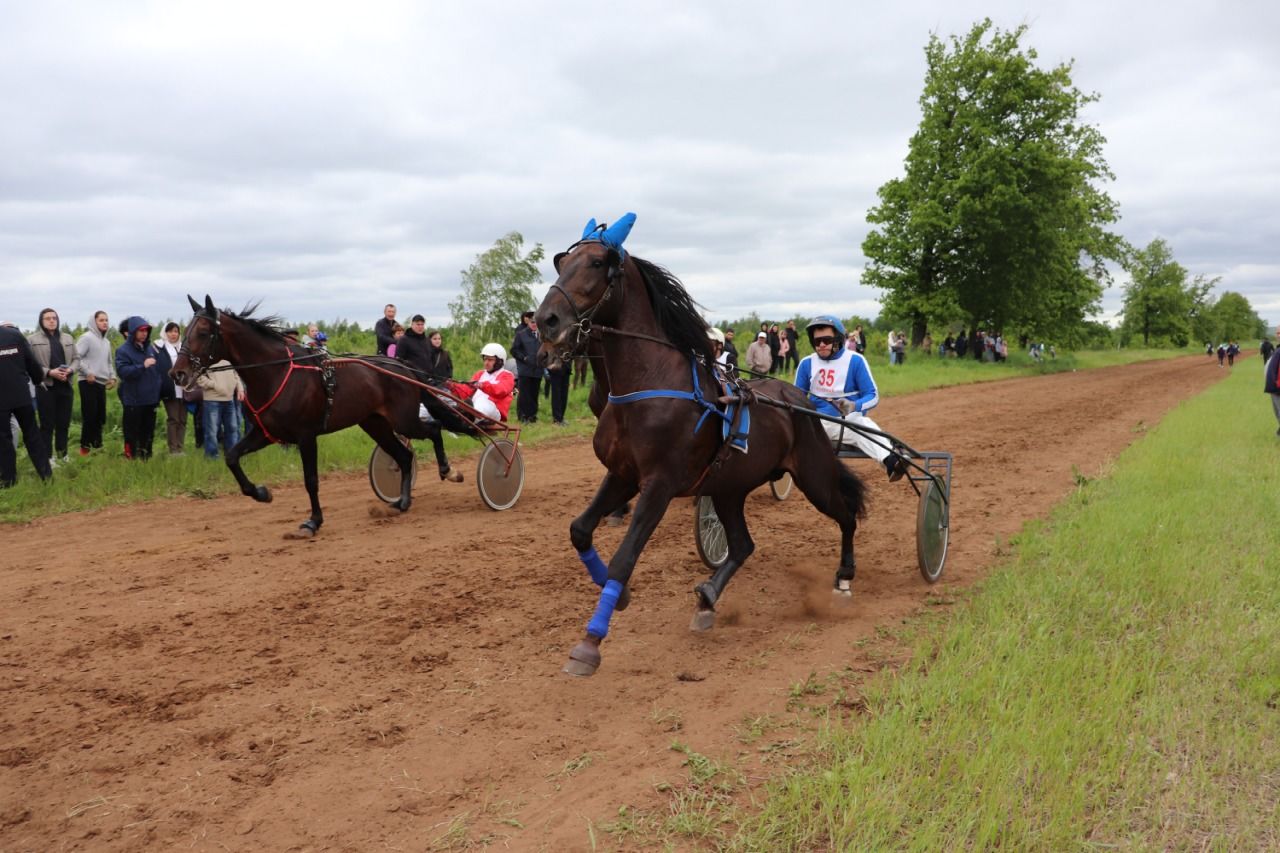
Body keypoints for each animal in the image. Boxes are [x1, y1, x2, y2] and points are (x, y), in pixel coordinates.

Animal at [170, 295, 471, 535]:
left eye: (203, 332)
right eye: (185, 331)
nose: (177, 373)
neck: (276, 372)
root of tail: (403, 366)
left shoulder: (306, 436)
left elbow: (311, 480)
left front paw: (313, 521)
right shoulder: (266, 433)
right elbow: (232, 457)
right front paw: (261, 493)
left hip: (403, 419)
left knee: (433, 429)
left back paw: (448, 470)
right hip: (375, 424)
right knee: (405, 456)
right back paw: (402, 501)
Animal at [529, 216, 870, 676]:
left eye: (598, 262)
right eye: (562, 262)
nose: (545, 320)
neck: (648, 382)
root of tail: (798, 398)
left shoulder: (659, 483)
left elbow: (624, 557)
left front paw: (590, 643)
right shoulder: (622, 475)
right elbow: (580, 530)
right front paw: (621, 594)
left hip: (813, 474)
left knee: (846, 514)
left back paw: (845, 576)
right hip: (728, 488)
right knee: (743, 544)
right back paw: (708, 600)